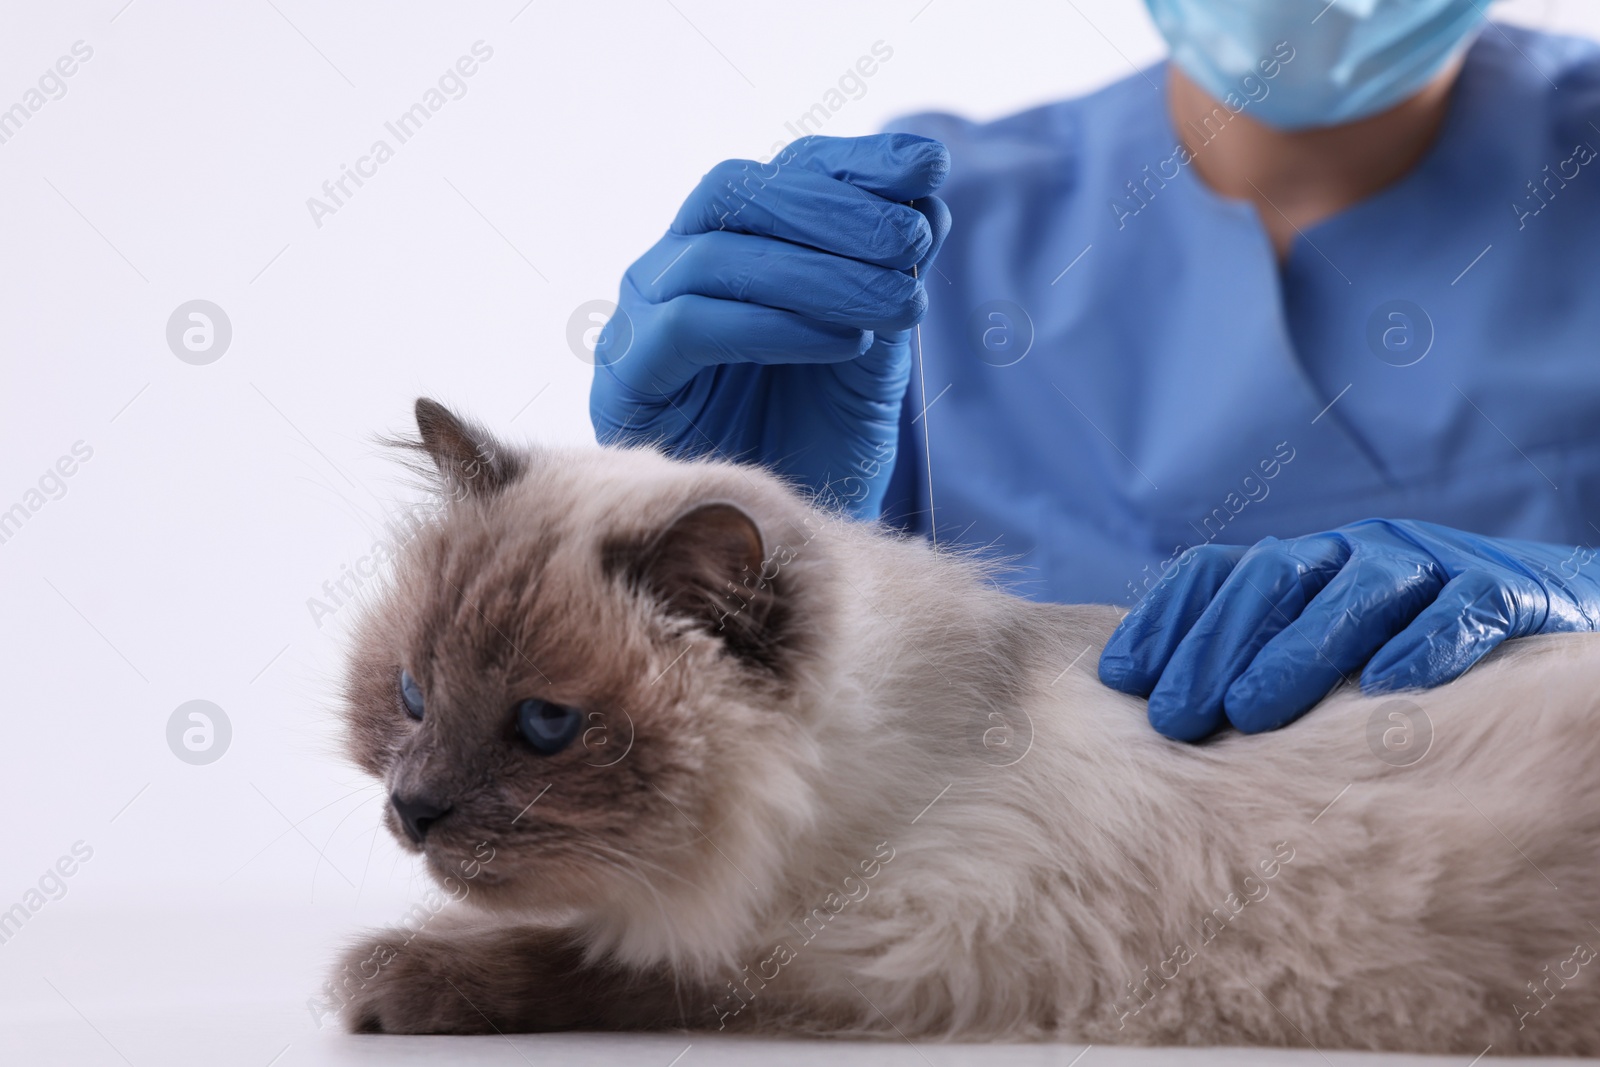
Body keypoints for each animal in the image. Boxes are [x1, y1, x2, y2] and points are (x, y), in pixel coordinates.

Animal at [324, 399, 1600, 1062]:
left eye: (546, 723)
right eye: (413, 698)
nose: (412, 807)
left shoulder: (870, 963)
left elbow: (612, 961)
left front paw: (386, 977)